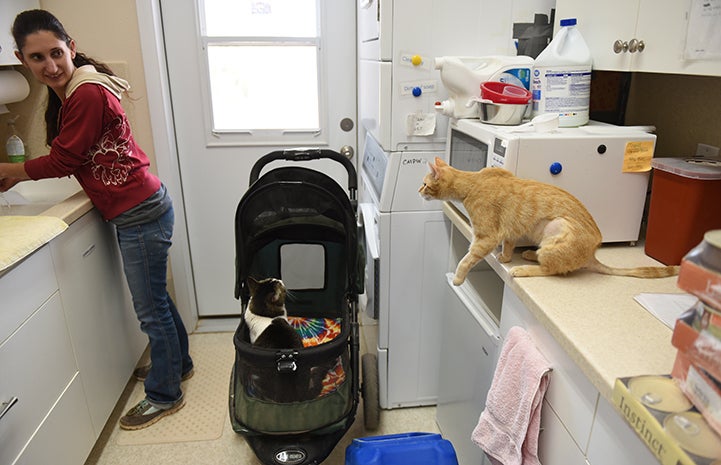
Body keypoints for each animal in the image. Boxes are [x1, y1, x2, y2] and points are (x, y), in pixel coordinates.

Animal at [420, 158, 676, 284]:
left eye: (424, 184)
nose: (418, 190)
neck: (472, 183)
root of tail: (592, 254)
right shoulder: (510, 230)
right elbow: (509, 243)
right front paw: (505, 257)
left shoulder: (486, 237)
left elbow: (467, 259)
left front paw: (458, 278)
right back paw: (529, 254)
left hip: (557, 226)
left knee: (552, 270)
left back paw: (524, 268)